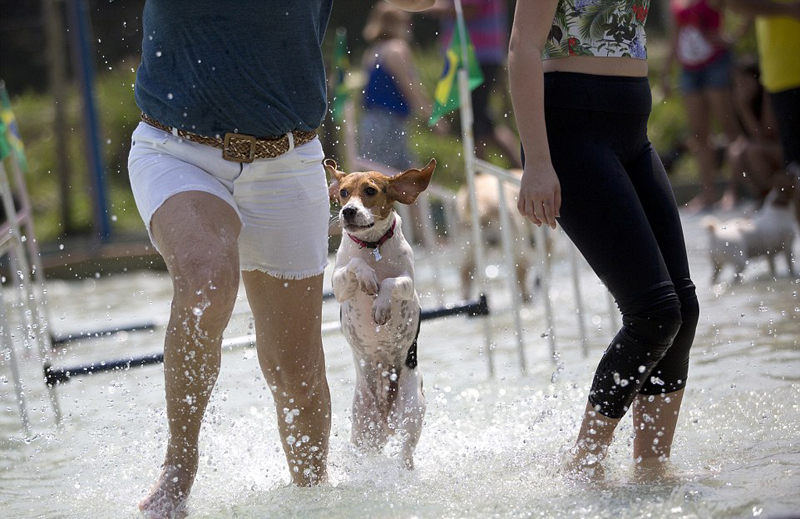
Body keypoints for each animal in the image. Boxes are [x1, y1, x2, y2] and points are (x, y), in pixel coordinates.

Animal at [326, 158, 438, 472]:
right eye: (343, 192)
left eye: (370, 191)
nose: (348, 211)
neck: (373, 244)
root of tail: (386, 417)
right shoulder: (338, 285)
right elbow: (354, 266)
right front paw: (366, 278)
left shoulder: (408, 284)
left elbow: (391, 283)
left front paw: (380, 305)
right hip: (363, 427)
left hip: (412, 409)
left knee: (406, 451)